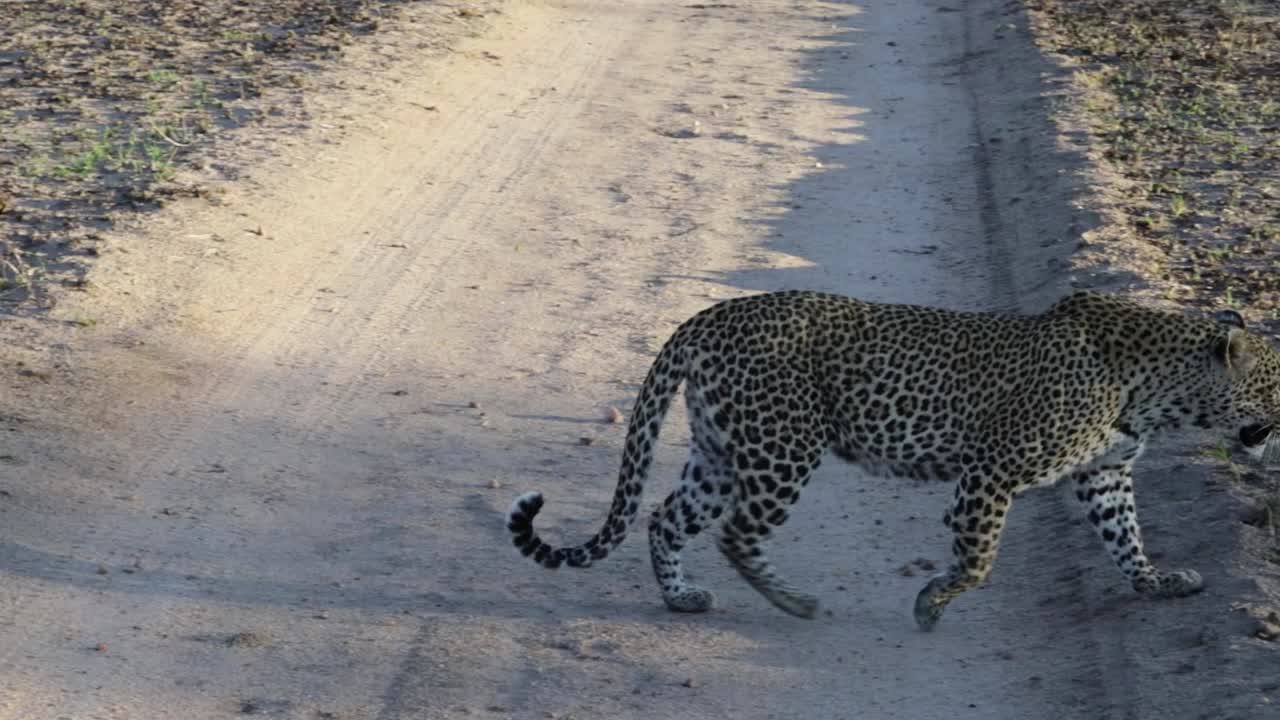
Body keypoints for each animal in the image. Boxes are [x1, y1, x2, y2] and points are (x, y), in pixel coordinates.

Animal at [505, 290, 1280, 628]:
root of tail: (709, 315)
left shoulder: (1105, 473)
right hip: (784, 448)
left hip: (723, 451)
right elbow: (979, 560)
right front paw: (930, 604)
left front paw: (1158, 584)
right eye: (1273, 383)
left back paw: (682, 597)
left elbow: (1127, 538)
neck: (1160, 392)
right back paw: (794, 602)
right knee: (735, 533)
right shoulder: (990, 472)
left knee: (666, 518)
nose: (1277, 426)